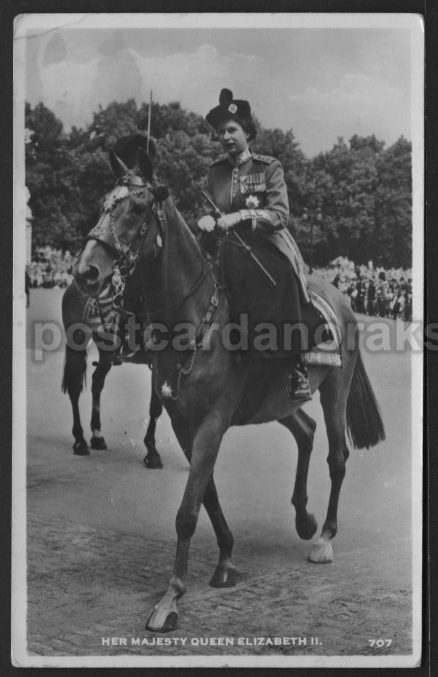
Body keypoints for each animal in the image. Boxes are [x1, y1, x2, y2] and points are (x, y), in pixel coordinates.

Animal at [73, 149, 384, 632]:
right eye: (104, 203)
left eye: (138, 208)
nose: (86, 271)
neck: (195, 319)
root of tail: (340, 295)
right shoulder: (185, 424)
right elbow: (207, 494)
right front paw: (225, 561)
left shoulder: (212, 423)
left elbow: (187, 511)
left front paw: (171, 598)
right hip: (279, 401)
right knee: (306, 432)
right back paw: (303, 517)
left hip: (336, 388)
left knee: (336, 456)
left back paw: (324, 537)